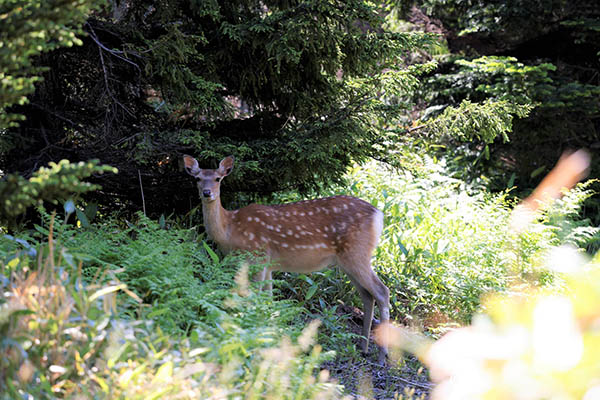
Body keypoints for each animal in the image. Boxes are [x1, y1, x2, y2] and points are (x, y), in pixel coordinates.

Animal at [185, 153, 392, 362]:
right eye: (197, 178)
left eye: (218, 179)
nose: (207, 193)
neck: (230, 230)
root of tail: (379, 215)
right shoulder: (269, 265)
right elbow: (268, 299)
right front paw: (268, 334)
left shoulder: (258, 256)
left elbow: (256, 297)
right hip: (347, 261)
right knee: (367, 295)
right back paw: (364, 347)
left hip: (357, 253)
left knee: (382, 291)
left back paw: (383, 355)